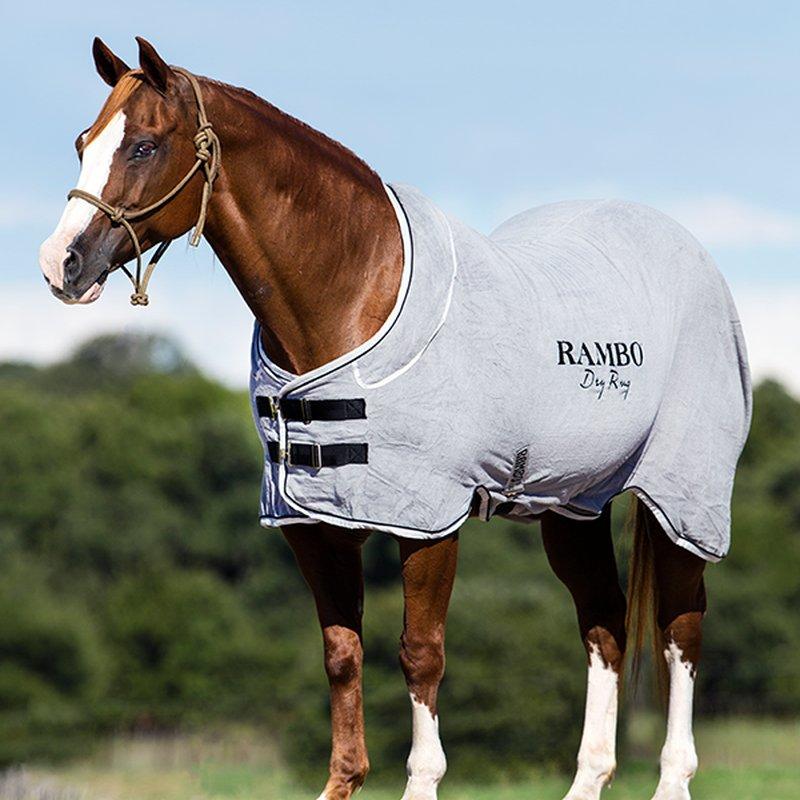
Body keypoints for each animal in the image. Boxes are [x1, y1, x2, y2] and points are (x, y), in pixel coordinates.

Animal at [39, 38, 751, 800]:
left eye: (143, 145)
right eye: (82, 142)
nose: (60, 264)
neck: (353, 292)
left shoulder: (428, 519)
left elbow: (420, 653)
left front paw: (422, 779)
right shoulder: (314, 524)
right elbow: (341, 653)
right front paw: (343, 778)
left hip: (683, 496)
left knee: (681, 630)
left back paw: (673, 776)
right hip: (572, 505)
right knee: (605, 623)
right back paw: (589, 777)